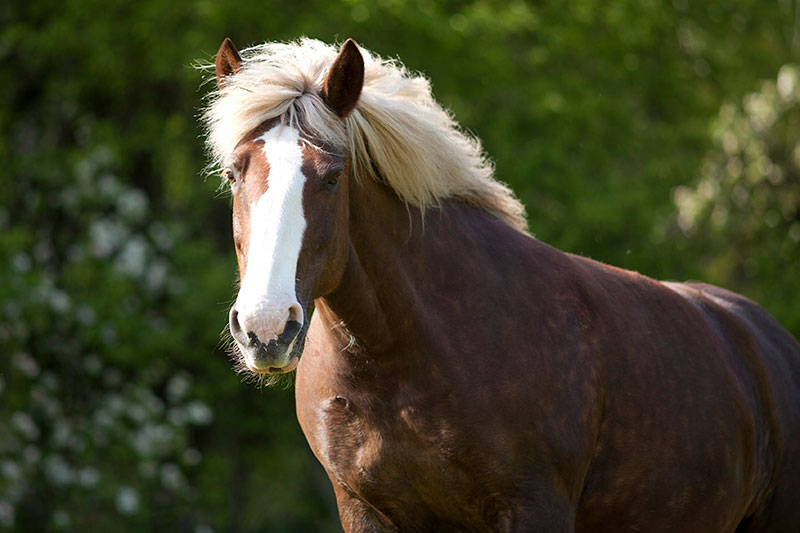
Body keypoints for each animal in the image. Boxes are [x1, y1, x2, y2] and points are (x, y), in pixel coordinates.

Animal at [203, 37, 800, 532]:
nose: (265, 328)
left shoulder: (533, 508)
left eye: (331, 177)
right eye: (234, 173)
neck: (408, 357)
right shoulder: (363, 510)